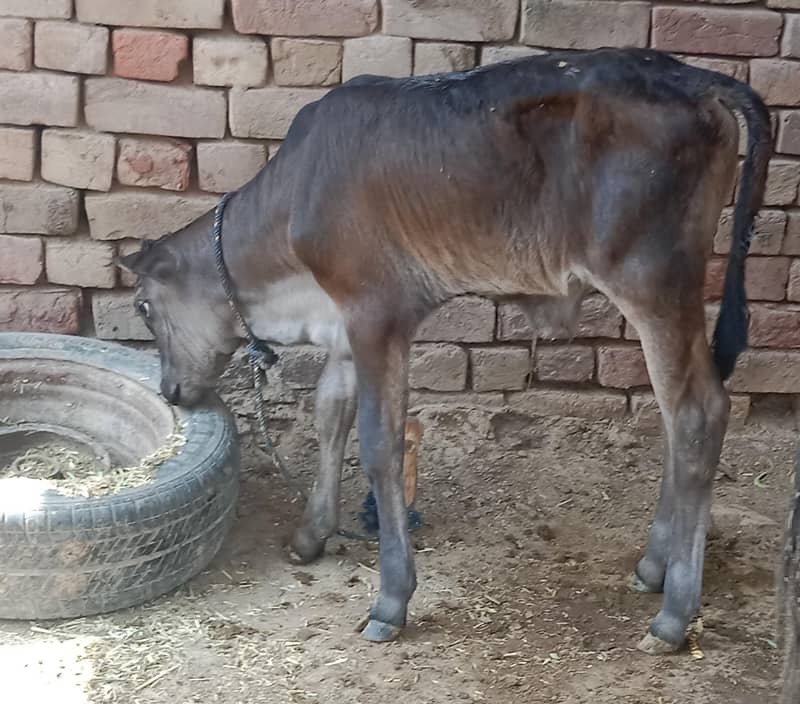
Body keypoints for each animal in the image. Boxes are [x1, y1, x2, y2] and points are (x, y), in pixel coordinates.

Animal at [118, 47, 771, 653]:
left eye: (144, 308)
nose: (170, 388)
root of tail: (695, 76)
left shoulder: (376, 313)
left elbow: (378, 444)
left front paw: (390, 600)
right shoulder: (344, 322)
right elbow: (330, 414)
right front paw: (311, 534)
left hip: (653, 281)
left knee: (698, 414)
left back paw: (673, 615)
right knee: (676, 416)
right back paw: (653, 567)